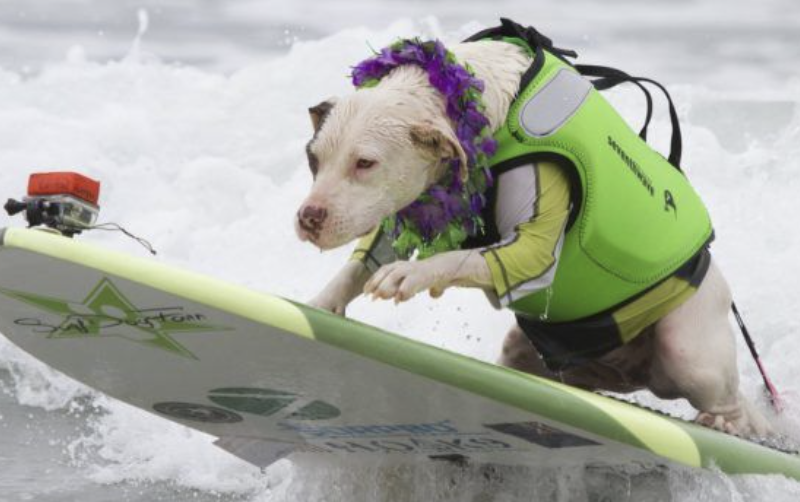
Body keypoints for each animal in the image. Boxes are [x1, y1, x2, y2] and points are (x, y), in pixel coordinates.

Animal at [296, 35, 772, 438]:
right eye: (313, 158)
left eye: (365, 163)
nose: (308, 217)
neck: (482, 106)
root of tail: (633, 374)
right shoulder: (414, 208)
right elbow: (365, 260)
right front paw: (323, 303)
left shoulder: (534, 241)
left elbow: (465, 259)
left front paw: (409, 275)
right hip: (531, 356)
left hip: (691, 350)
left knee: (725, 394)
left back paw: (731, 422)